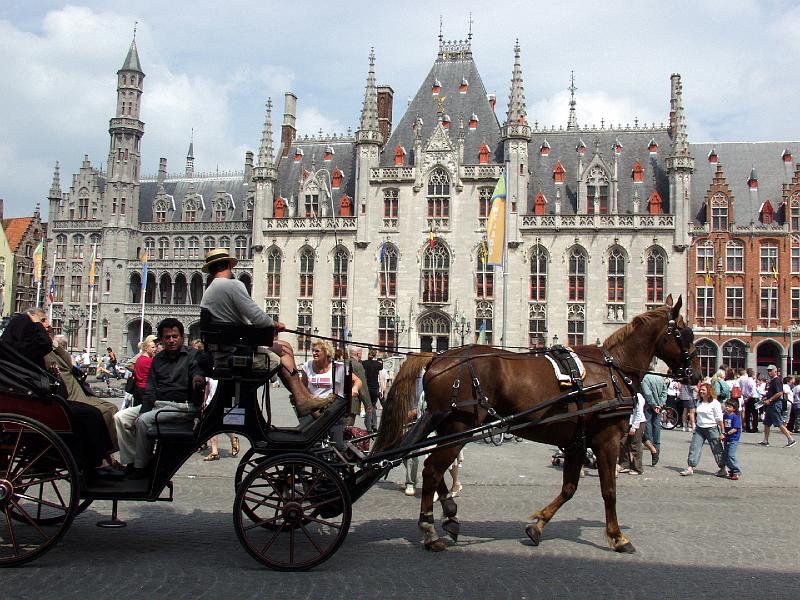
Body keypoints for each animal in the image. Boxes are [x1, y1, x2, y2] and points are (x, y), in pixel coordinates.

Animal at [374, 295, 700, 553]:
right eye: (685, 334)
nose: (696, 375)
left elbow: (569, 488)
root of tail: (436, 358)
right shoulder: (606, 439)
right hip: (458, 429)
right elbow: (609, 490)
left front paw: (537, 526)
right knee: (431, 469)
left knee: (432, 465)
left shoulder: (576, 442)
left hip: (447, 427)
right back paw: (430, 531)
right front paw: (618, 538)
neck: (613, 370)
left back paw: (450, 515)